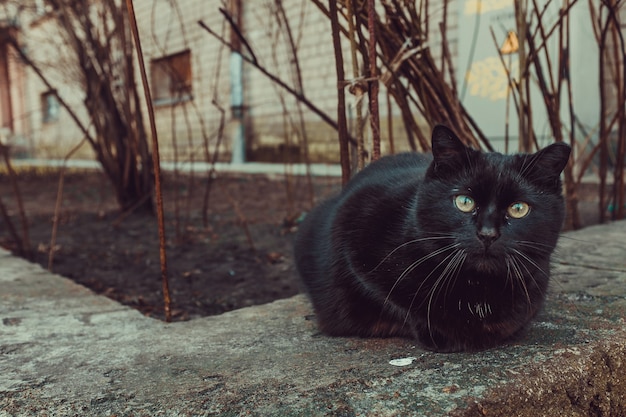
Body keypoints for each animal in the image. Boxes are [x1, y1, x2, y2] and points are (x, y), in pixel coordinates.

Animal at [294, 126, 572, 352]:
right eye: (464, 201)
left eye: (518, 208)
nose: (487, 234)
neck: (477, 287)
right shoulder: (351, 233)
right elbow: (391, 300)